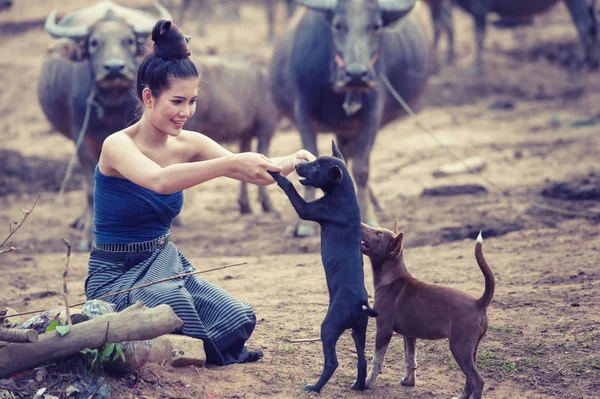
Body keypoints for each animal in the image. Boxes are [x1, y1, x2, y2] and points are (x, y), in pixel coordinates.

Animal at [37, 0, 171, 250]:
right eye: (94, 43)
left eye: (129, 40)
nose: (114, 68)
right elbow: (91, 190)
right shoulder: (81, 139)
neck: (112, 106)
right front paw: (88, 238)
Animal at [268, 0, 432, 238]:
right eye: (338, 25)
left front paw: (368, 216)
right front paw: (303, 226)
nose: (356, 74)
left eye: (376, 26)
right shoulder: (303, 112)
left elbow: (361, 169)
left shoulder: (372, 115)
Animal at [270, 141, 378, 394]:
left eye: (317, 167)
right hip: (359, 330)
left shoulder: (307, 210)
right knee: (361, 360)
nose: (297, 165)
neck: (342, 193)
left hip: (328, 328)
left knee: (332, 362)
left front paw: (276, 173)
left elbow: (290, 187)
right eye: (313, 160)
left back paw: (315, 387)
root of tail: (361, 304)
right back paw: (358, 386)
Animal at [360, 222, 492, 399]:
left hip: (459, 347)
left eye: (378, 234)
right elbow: (409, 359)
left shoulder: (383, 330)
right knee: (469, 379)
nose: (359, 223)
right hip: (471, 349)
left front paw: (366, 383)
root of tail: (478, 303)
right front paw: (409, 382)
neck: (392, 277)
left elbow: (377, 361)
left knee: (477, 381)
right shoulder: (409, 334)